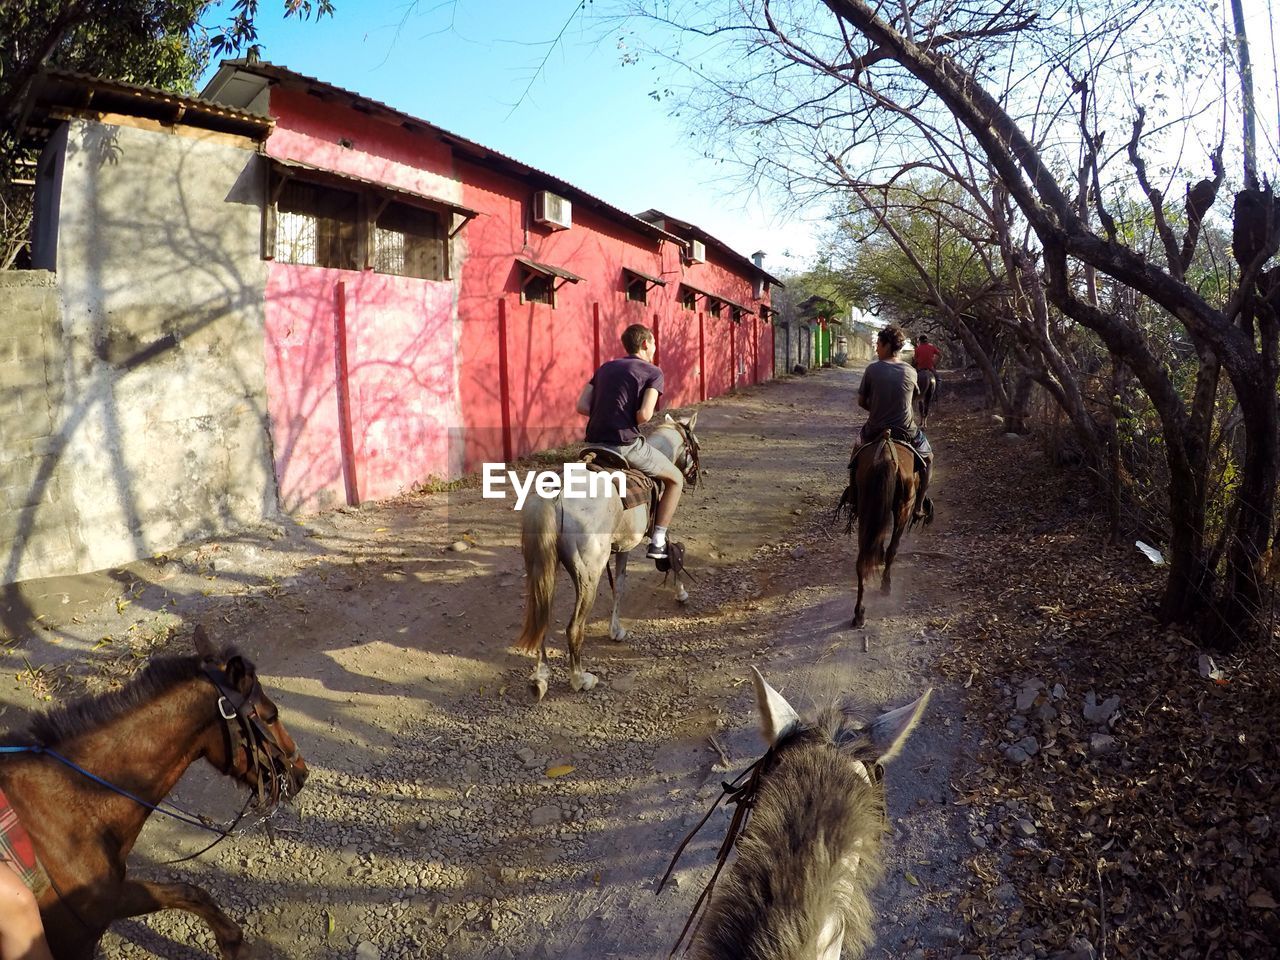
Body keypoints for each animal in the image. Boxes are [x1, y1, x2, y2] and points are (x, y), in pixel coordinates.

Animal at [0, 627, 307, 957]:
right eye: (271, 715)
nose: (301, 772)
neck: (70, 810)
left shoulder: (112, 898)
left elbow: (187, 892)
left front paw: (233, 942)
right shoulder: (75, 937)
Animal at [517, 414, 706, 701]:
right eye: (696, 444)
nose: (695, 476)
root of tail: (556, 493)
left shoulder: (623, 548)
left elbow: (619, 586)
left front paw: (615, 629)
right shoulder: (655, 529)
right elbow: (668, 554)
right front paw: (681, 593)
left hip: (542, 569)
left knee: (543, 618)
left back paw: (540, 678)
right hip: (588, 574)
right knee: (574, 628)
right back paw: (580, 679)